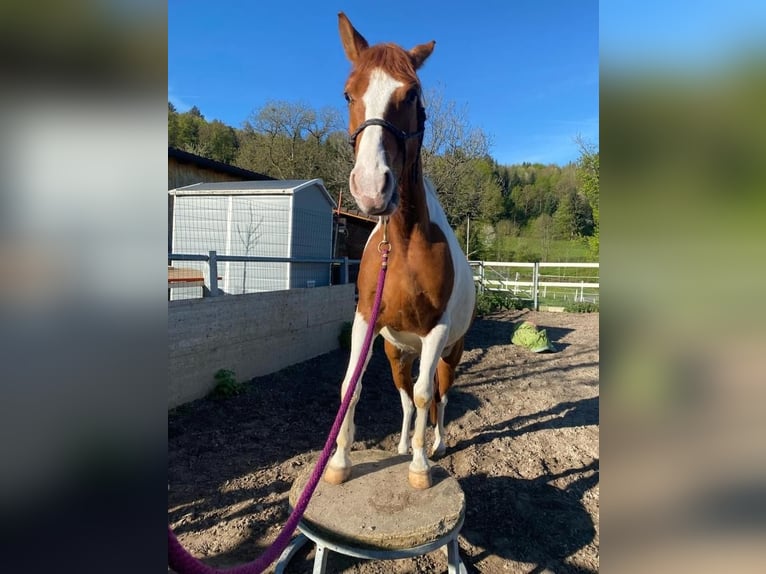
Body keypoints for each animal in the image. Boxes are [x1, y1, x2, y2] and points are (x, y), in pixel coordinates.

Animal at [322, 13, 474, 490]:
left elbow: (427, 396)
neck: (403, 244)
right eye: (348, 92)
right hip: (396, 352)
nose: (372, 188)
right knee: (405, 397)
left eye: (411, 95)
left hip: (449, 352)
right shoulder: (365, 321)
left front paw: (421, 469)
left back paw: (434, 445)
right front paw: (339, 463)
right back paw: (406, 443)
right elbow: (351, 386)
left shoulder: (436, 333)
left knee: (440, 395)